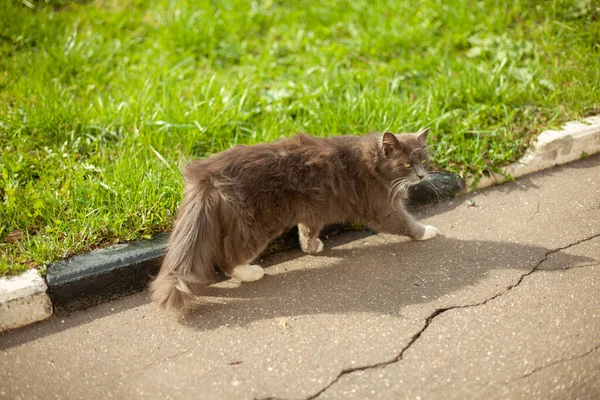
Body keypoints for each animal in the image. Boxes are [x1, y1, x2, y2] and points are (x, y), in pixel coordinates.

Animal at [150, 127, 438, 310]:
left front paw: (311, 247)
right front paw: (427, 231)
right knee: (228, 256)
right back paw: (250, 272)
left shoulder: (313, 209)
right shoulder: (382, 207)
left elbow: (307, 231)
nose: (422, 176)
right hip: (256, 225)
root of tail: (206, 173)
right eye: (407, 165)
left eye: (424, 161)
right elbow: (404, 222)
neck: (374, 161)